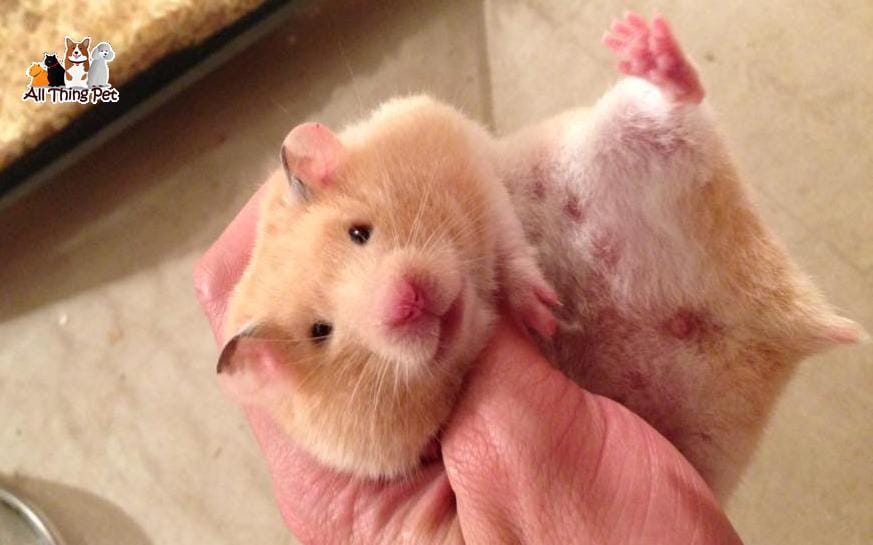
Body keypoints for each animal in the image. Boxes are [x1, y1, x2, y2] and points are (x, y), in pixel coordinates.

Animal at [219, 13, 865, 499]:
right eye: (321, 332)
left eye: (360, 232)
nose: (409, 303)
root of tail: (785, 321)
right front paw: (545, 321)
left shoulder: (463, 149)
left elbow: (508, 242)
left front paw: (541, 309)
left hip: (633, 132)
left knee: (676, 103)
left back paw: (647, 48)